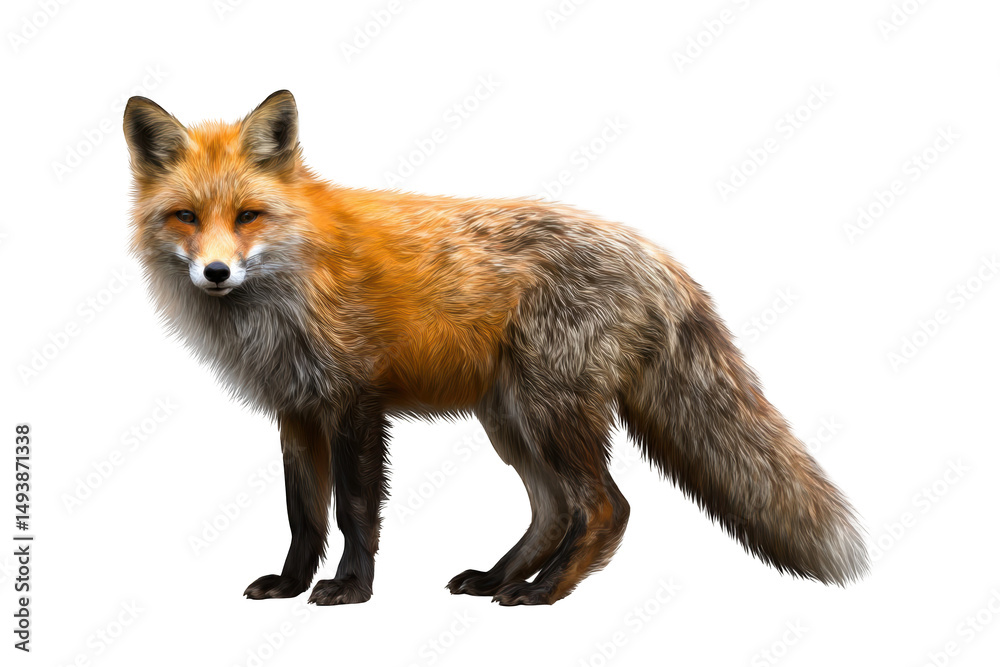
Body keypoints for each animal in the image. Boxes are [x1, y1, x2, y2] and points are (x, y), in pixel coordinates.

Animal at [123, 90, 868, 606]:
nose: (216, 272)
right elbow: (303, 513)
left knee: (606, 507)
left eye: (248, 216)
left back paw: (541, 592)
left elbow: (355, 510)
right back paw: (499, 576)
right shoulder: (298, 409)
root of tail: (654, 253)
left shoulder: (356, 402)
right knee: (554, 509)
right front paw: (289, 584)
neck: (289, 284)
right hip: (511, 419)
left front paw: (352, 589)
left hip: (548, 411)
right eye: (186, 217)